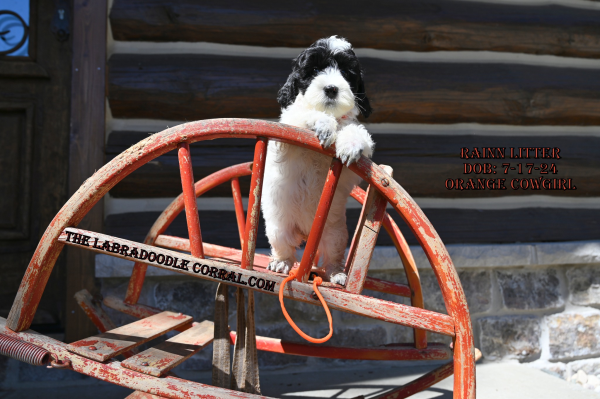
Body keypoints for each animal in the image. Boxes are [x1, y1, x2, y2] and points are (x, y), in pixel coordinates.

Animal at [262, 34, 376, 284]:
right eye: (314, 70)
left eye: (346, 73)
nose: (331, 88)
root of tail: (307, 232)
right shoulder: (288, 135)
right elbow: (304, 113)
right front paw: (324, 125)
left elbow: (356, 133)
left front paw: (350, 144)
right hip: (279, 227)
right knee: (284, 247)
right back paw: (282, 263)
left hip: (335, 233)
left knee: (332, 255)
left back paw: (336, 273)